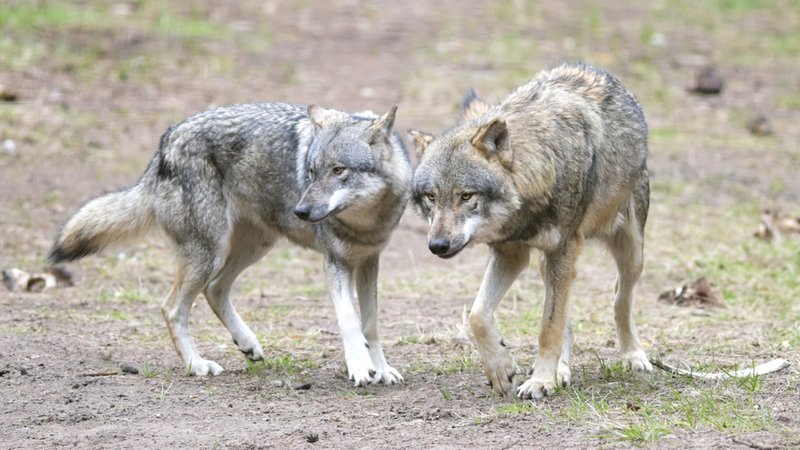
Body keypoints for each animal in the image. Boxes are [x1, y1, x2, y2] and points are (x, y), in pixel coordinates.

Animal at [49, 102, 412, 386]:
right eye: (311, 172)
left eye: (338, 170)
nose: (301, 211)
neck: (366, 222)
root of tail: (166, 142)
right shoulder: (335, 263)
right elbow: (349, 321)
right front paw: (360, 368)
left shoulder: (369, 262)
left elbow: (371, 325)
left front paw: (381, 369)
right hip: (211, 253)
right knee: (172, 307)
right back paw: (197, 365)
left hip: (253, 246)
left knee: (215, 290)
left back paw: (247, 344)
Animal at [409, 63, 652, 399]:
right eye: (431, 197)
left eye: (466, 196)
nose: (438, 245)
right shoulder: (510, 254)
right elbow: (478, 315)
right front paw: (501, 369)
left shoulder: (563, 249)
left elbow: (549, 327)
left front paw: (540, 381)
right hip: (546, 263)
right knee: (567, 317)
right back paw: (562, 370)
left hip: (631, 252)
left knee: (619, 298)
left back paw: (632, 355)